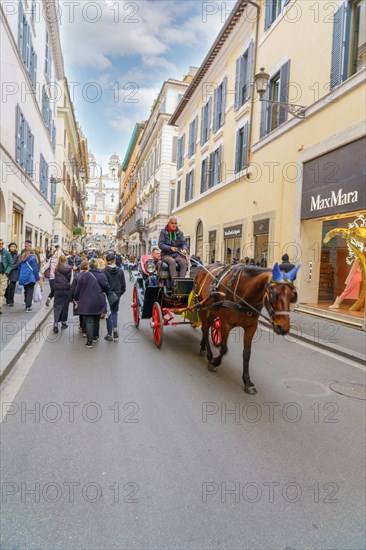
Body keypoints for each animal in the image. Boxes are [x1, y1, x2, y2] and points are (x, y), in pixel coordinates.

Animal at [193, 262, 298, 392]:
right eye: (274, 294)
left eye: (292, 296)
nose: (284, 328)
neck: (244, 297)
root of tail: (203, 269)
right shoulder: (225, 323)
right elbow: (224, 348)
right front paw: (215, 362)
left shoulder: (251, 327)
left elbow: (247, 354)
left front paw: (247, 381)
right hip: (202, 307)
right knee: (205, 328)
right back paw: (209, 355)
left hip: (212, 309)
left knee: (207, 326)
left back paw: (203, 348)